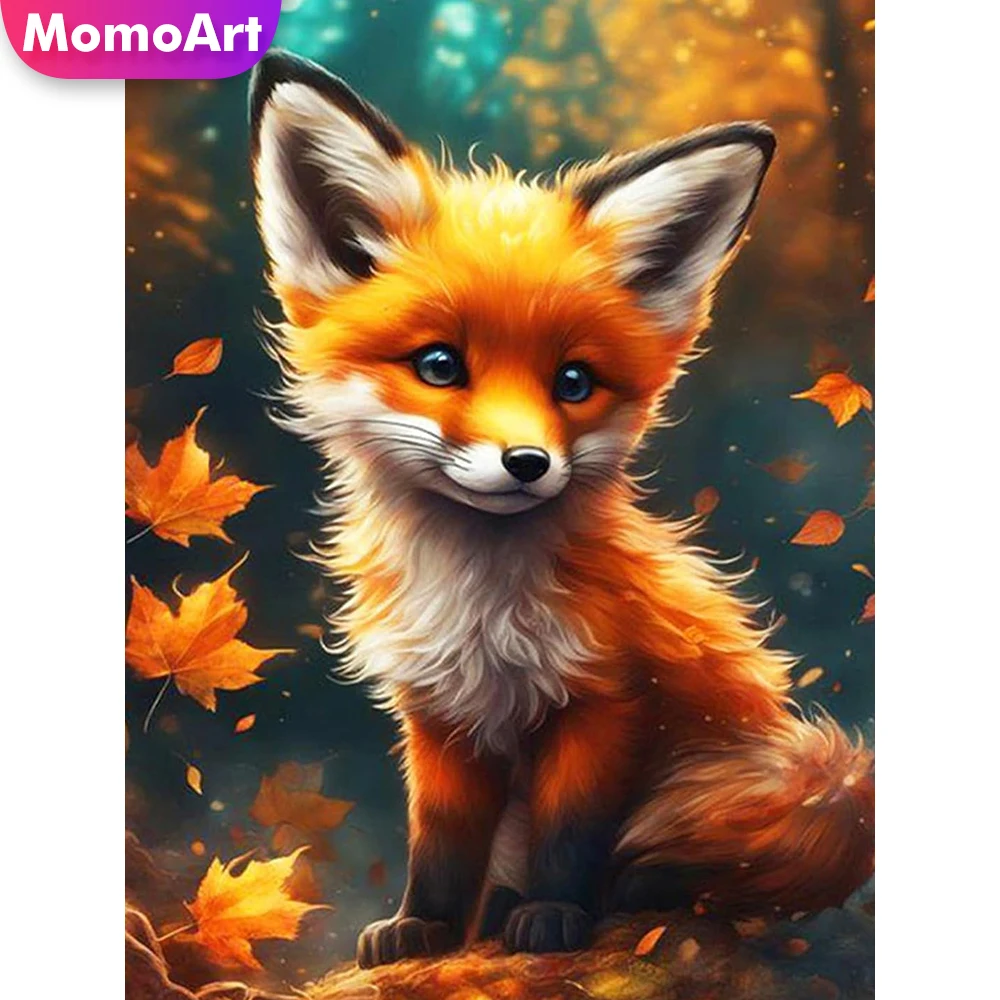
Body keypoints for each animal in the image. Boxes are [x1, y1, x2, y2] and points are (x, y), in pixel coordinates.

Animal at [248, 51, 874, 968]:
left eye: (573, 382)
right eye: (439, 366)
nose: (527, 464)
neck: (481, 607)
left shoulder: (603, 699)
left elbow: (570, 834)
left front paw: (551, 915)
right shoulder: (439, 713)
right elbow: (440, 839)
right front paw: (426, 928)